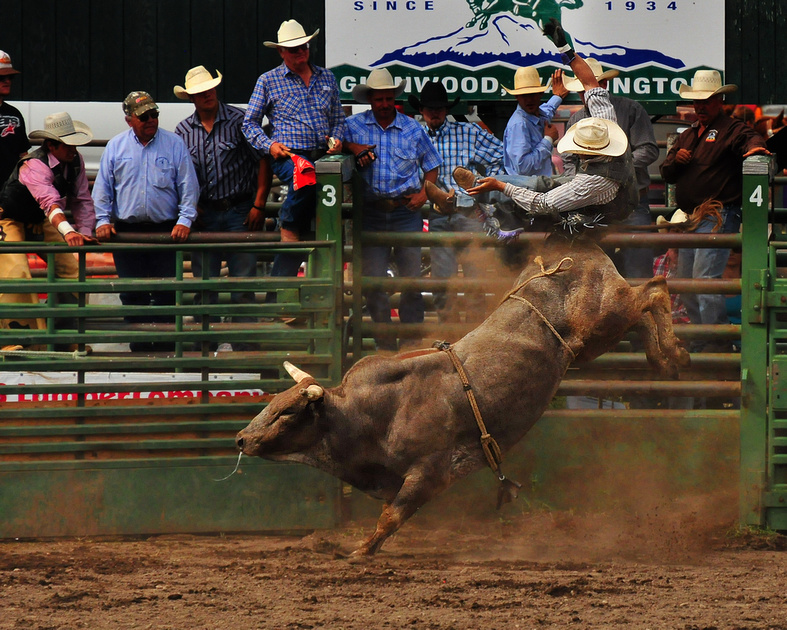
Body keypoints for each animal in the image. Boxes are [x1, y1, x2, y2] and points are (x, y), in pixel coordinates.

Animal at [235, 235, 688, 556]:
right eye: (270, 405)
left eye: (287, 412)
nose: (240, 438)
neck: (370, 413)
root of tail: (572, 247)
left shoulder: (430, 473)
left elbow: (390, 517)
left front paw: (359, 551)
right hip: (595, 339)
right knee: (646, 307)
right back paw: (665, 356)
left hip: (604, 316)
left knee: (654, 289)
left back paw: (672, 355)